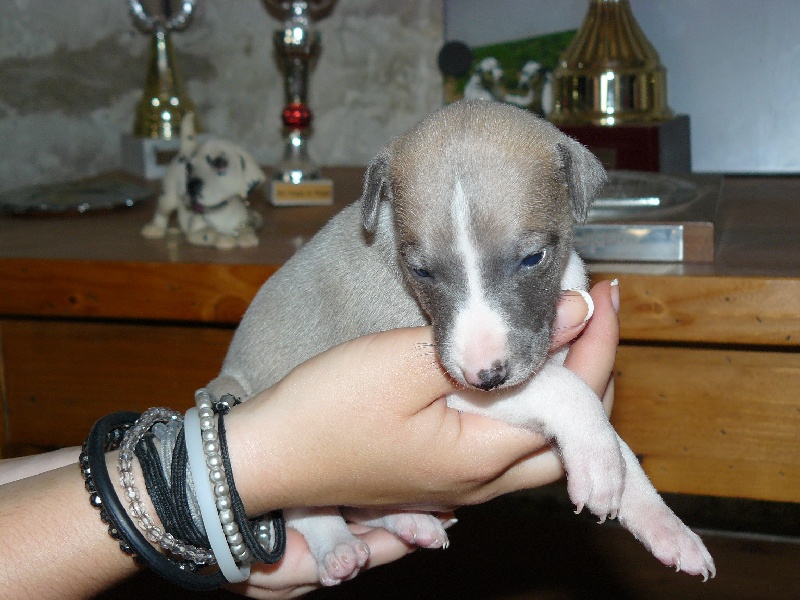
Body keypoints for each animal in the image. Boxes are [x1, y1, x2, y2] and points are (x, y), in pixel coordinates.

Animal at [207, 100, 715, 585]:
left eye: (533, 258)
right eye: (421, 271)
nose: (485, 376)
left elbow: (615, 438)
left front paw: (660, 520)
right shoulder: (452, 384)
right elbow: (568, 390)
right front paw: (598, 464)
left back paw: (408, 519)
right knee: (306, 509)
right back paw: (338, 546)